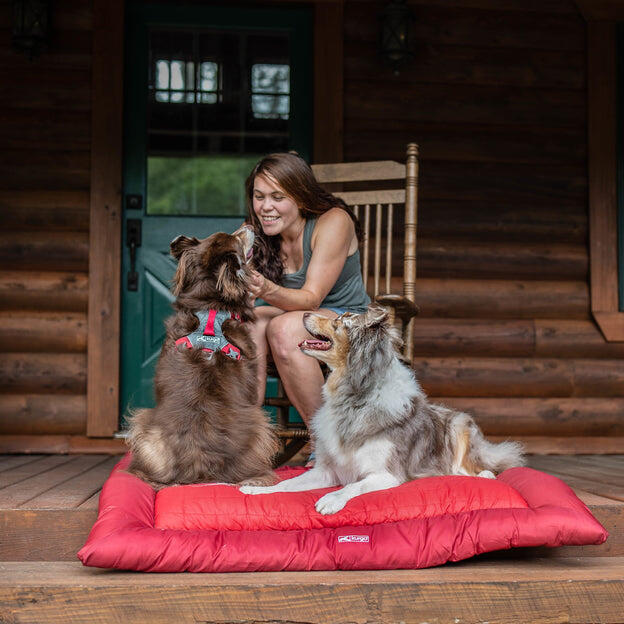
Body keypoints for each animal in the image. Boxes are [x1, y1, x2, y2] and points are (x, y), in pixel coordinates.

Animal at [241, 304, 524, 516]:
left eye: (340, 321)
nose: (304, 314)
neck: (355, 397)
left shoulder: (387, 475)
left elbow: (353, 486)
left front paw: (331, 500)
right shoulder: (327, 471)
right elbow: (287, 483)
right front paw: (258, 490)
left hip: (459, 424)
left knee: (475, 466)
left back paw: (482, 474)